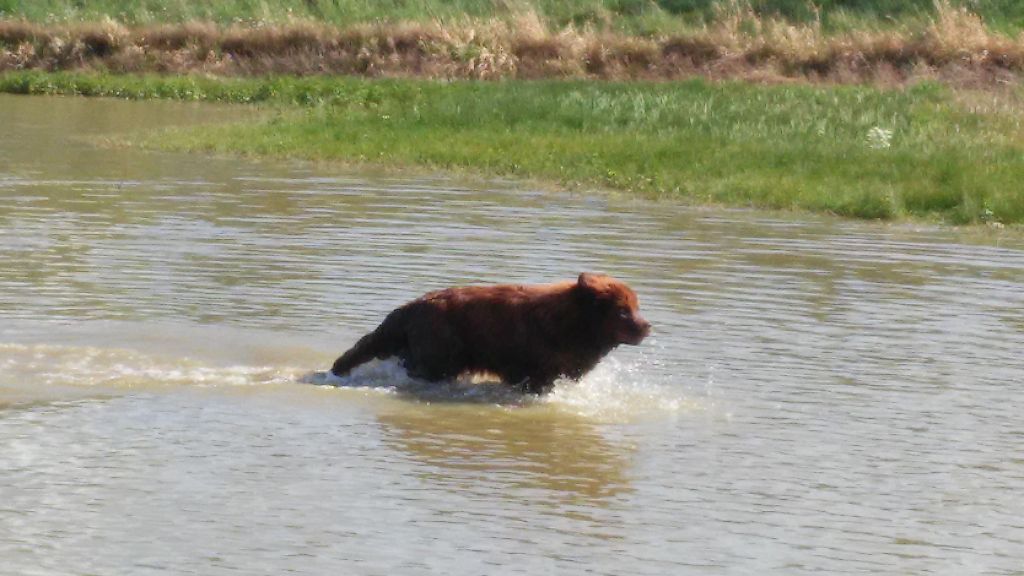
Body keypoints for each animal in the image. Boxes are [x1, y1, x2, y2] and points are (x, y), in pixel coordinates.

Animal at [331, 272, 651, 389]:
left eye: (636, 306)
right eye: (623, 310)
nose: (647, 326)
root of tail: (410, 307)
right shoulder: (537, 369)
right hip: (440, 353)